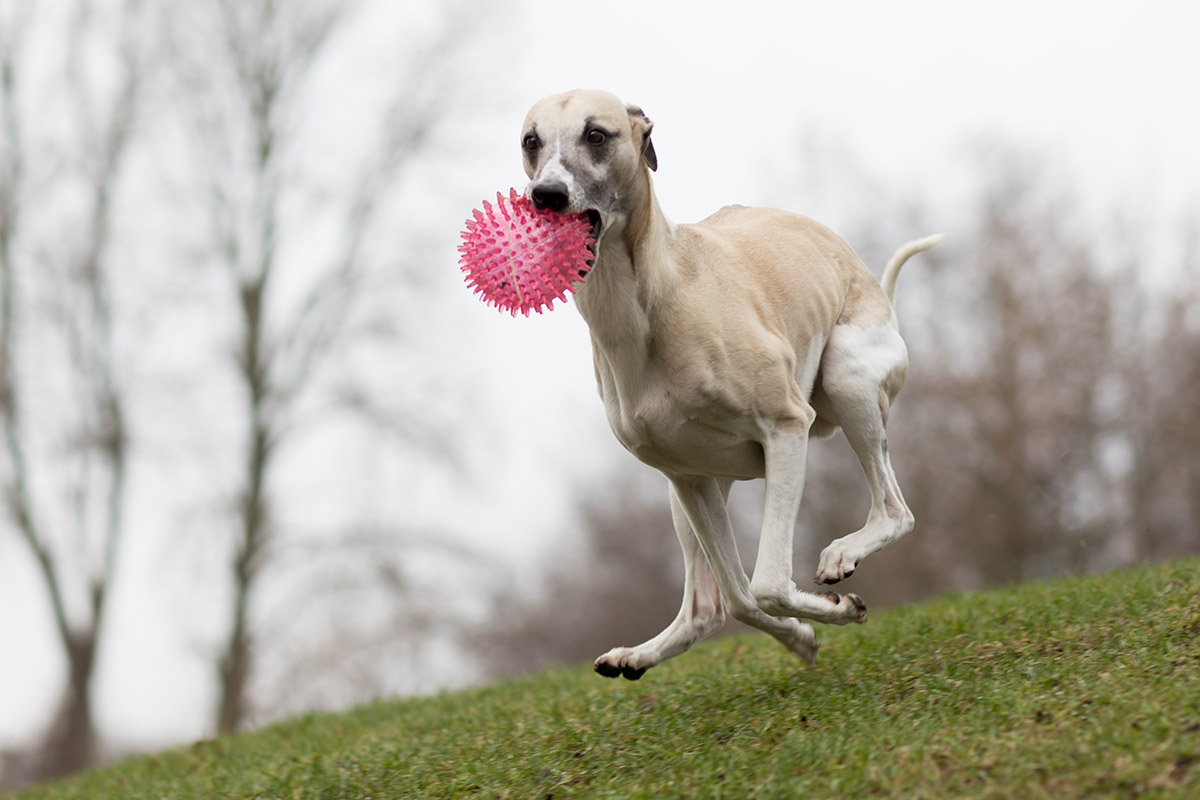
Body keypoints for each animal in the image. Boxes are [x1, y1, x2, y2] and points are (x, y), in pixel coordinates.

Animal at [521, 89, 941, 679]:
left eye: (596, 134)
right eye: (530, 141)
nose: (547, 196)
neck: (649, 298)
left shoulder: (786, 428)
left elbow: (765, 584)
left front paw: (836, 609)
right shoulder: (689, 478)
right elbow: (741, 596)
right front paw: (803, 635)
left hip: (847, 375)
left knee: (894, 510)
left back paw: (843, 555)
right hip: (691, 495)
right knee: (708, 605)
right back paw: (640, 654)